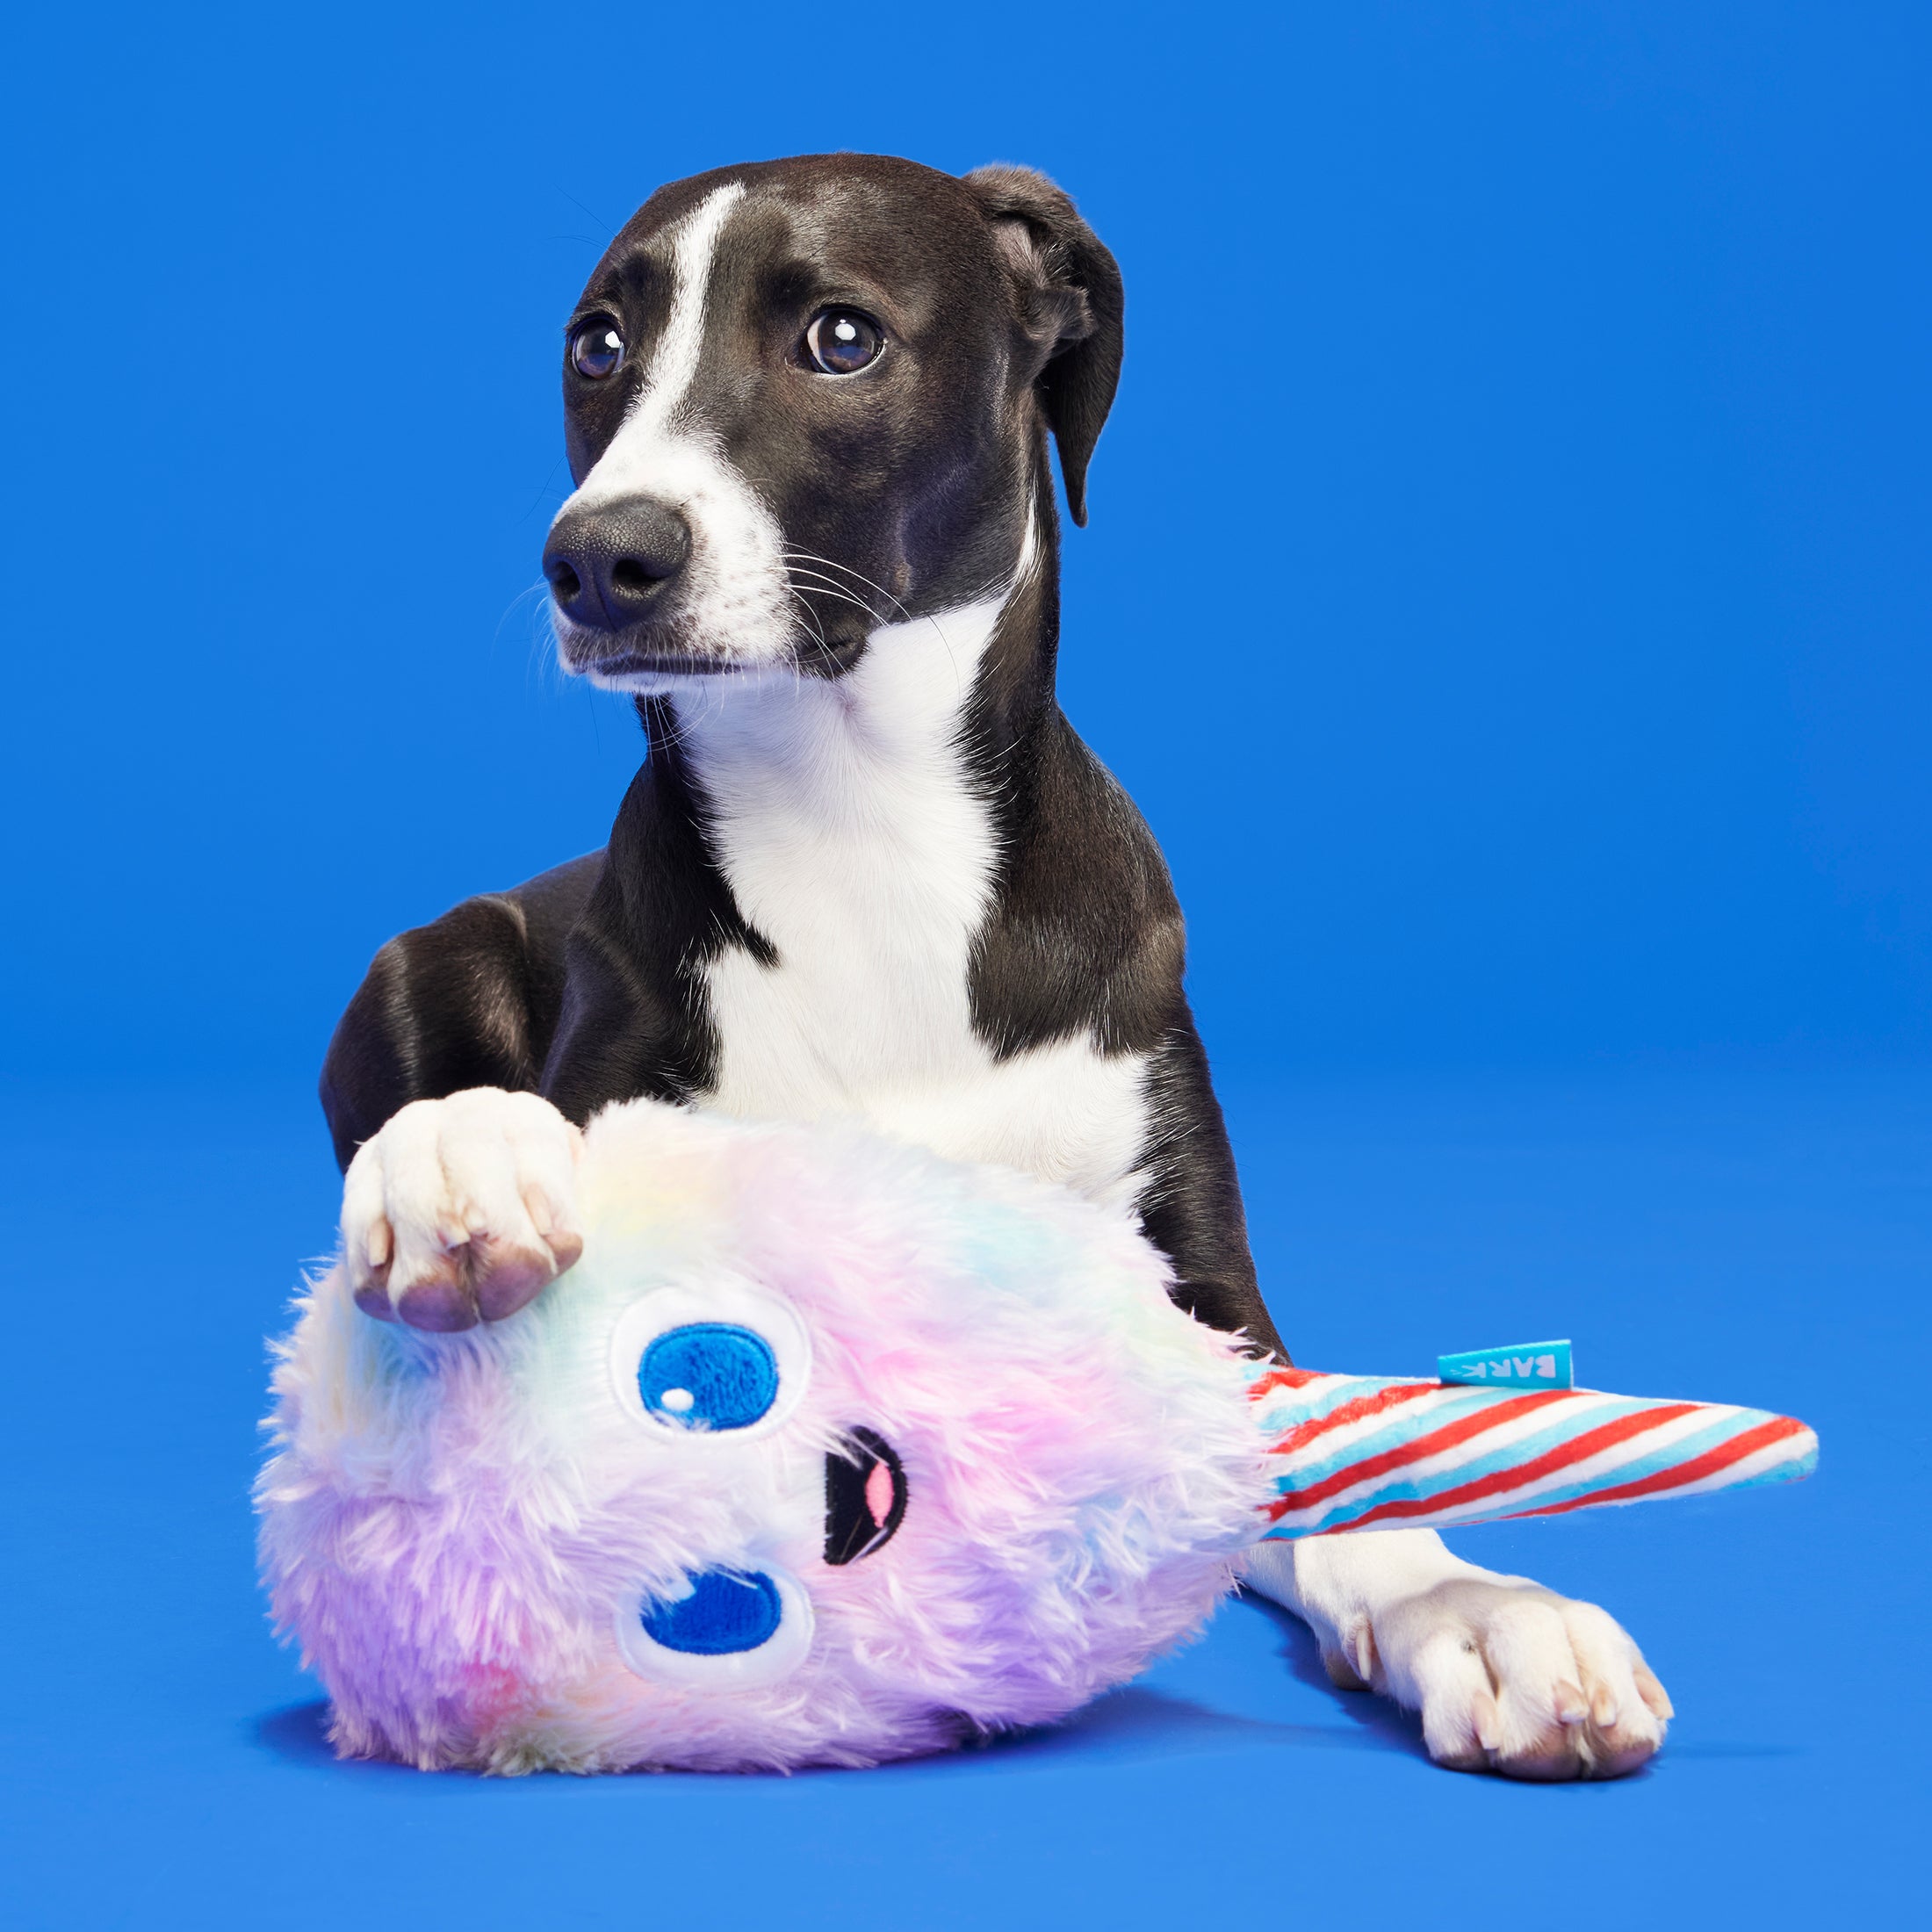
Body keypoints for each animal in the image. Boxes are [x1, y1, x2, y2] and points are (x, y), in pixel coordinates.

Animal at [324, 155, 1669, 1777]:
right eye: (598, 347)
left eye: (841, 338)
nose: (598, 558)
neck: (861, 822)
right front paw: (459, 1158)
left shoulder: (1203, 1284)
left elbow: (1360, 1469)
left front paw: (1487, 1615)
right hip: (422, 960)